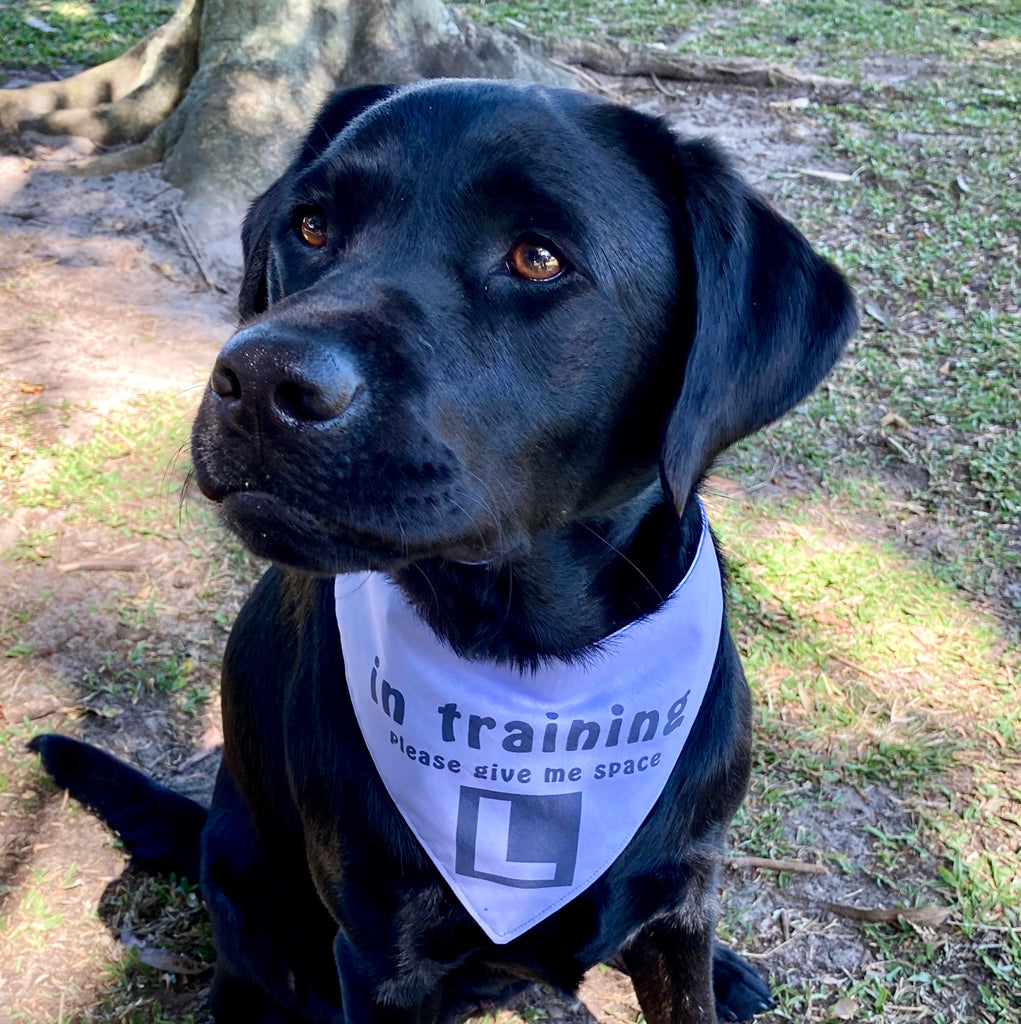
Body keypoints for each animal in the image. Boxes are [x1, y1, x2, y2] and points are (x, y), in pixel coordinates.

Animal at [29, 79, 852, 1024]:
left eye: (537, 258)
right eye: (311, 225)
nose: (261, 380)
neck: (533, 674)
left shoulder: (680, 899)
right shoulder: (382, 958)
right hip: (250, 893)